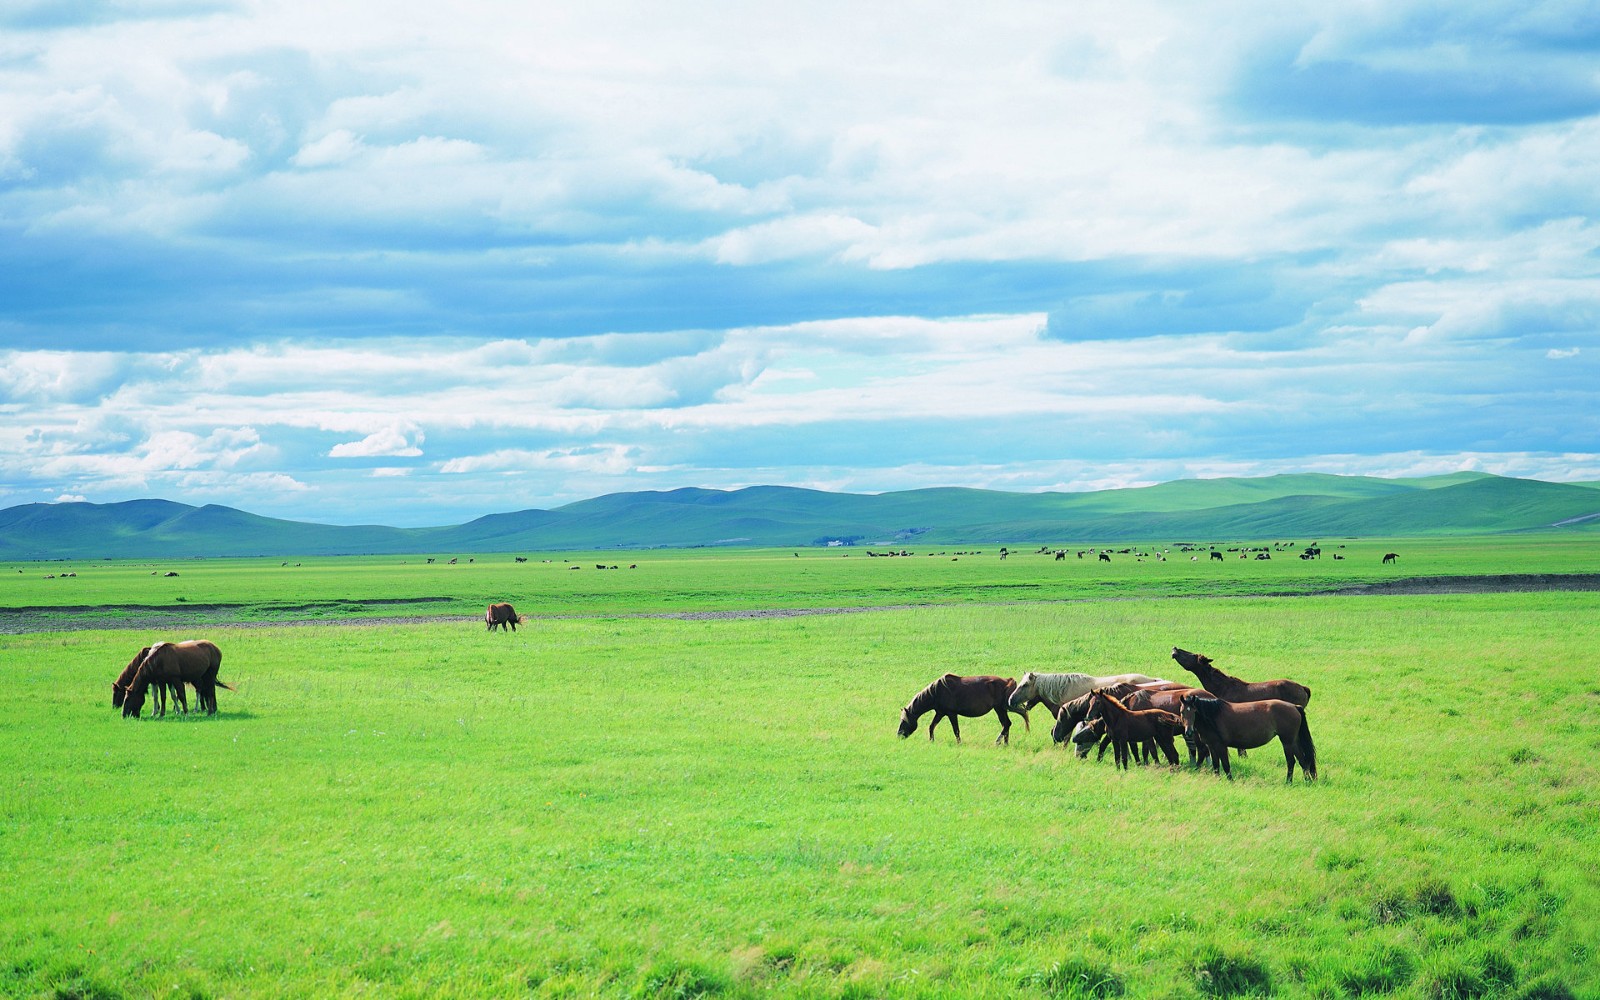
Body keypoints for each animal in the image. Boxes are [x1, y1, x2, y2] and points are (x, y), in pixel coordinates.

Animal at [896, 675, 1030, 745]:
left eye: (904, 721)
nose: (899, 735)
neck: (936, 692)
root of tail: (1008, 681)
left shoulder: (951, 714)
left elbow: (956, 730)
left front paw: (959, 743)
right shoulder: (940, 713)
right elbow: (932, 726)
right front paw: (931, 740)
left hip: (1000, 709)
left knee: (1008, 723)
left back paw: (998, 742)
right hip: (1001, 709)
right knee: (1006, 724)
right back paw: (1005, 744)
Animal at [1184, 691, 1318, 784]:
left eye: (1194, 711)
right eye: (1182, 712)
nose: (1188, 732)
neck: (1212, 716)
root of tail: (1294, 706)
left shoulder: (1220, 746)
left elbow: (1225, 764)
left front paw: (1230, 781)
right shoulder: (1211, 746)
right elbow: (1216, 765)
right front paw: (1218, 780)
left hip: (1287, 742)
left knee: (1291, 762)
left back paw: (1289, 782)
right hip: (1293, 741)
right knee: (1302, 760)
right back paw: (1307, 781)